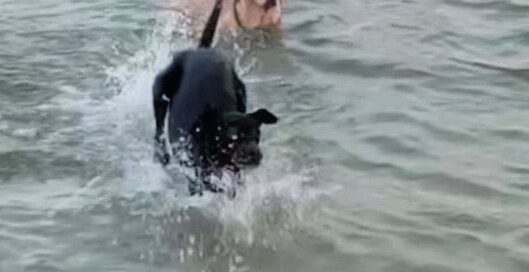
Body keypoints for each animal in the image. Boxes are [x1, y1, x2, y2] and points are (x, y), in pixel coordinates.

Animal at [152, 0, 276, 196]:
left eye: (257, 135)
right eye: (233, 137)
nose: (255, 155)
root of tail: (202, 49)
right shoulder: (196, 174)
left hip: (240, 90)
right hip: (161, 88)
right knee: (158, 129)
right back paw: (161, 154)